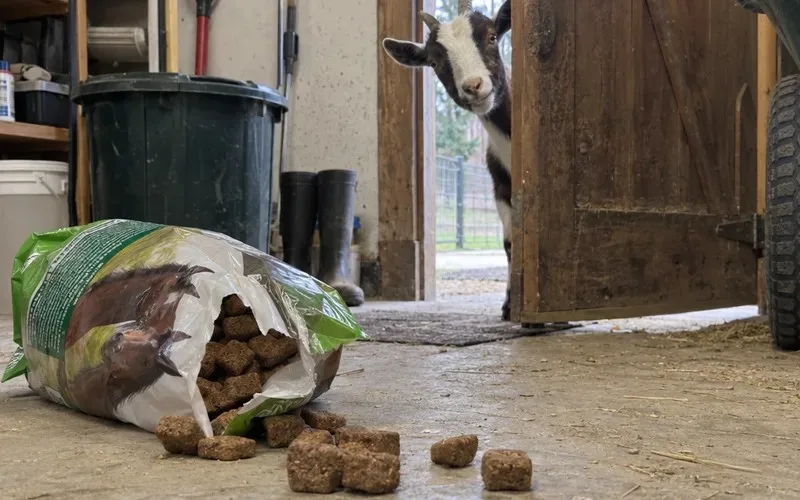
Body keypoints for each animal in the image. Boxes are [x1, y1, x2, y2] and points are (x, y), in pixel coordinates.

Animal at [382, 0, 514, 320]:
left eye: (492, 36)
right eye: (434, 61)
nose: (474, 86)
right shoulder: (501, 188)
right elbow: (509, 243)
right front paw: (511, 306)